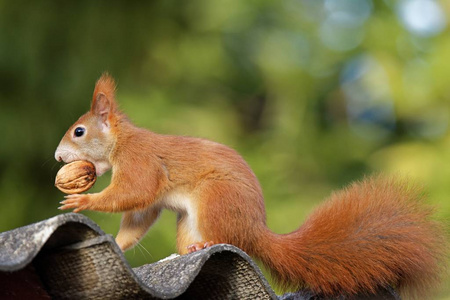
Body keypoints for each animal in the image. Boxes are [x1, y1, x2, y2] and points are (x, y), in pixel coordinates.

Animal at [54, 74, 444, 298]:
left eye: (79, 131)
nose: (58, 156)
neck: (121, 143)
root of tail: (255, 229)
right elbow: (138, 219)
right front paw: (117, 244)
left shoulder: (141, 163)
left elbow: (134, 193)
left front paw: (83, 201)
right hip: (189, 221)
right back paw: (187, 251)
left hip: (215, 201)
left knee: (227, 238)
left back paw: (206, 246)